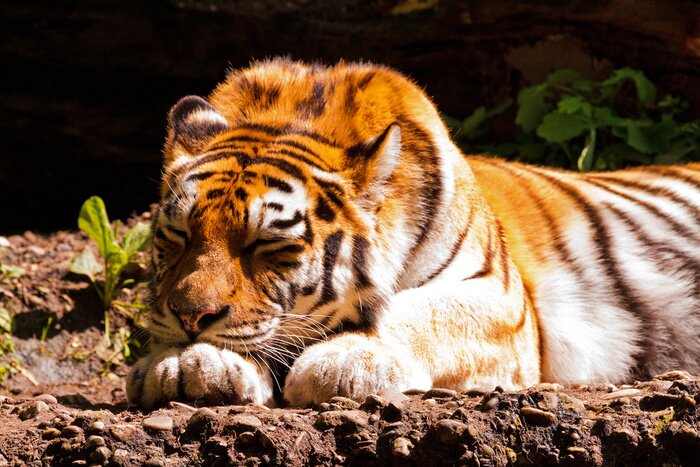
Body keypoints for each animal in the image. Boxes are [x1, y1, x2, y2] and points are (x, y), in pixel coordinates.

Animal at [126, 58, 700, 409]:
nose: (190, 317)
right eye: (178, 235)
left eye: (266, 244)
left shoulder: (502, 299)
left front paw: (342, 361)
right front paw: (182, 362)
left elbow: (420, 313)